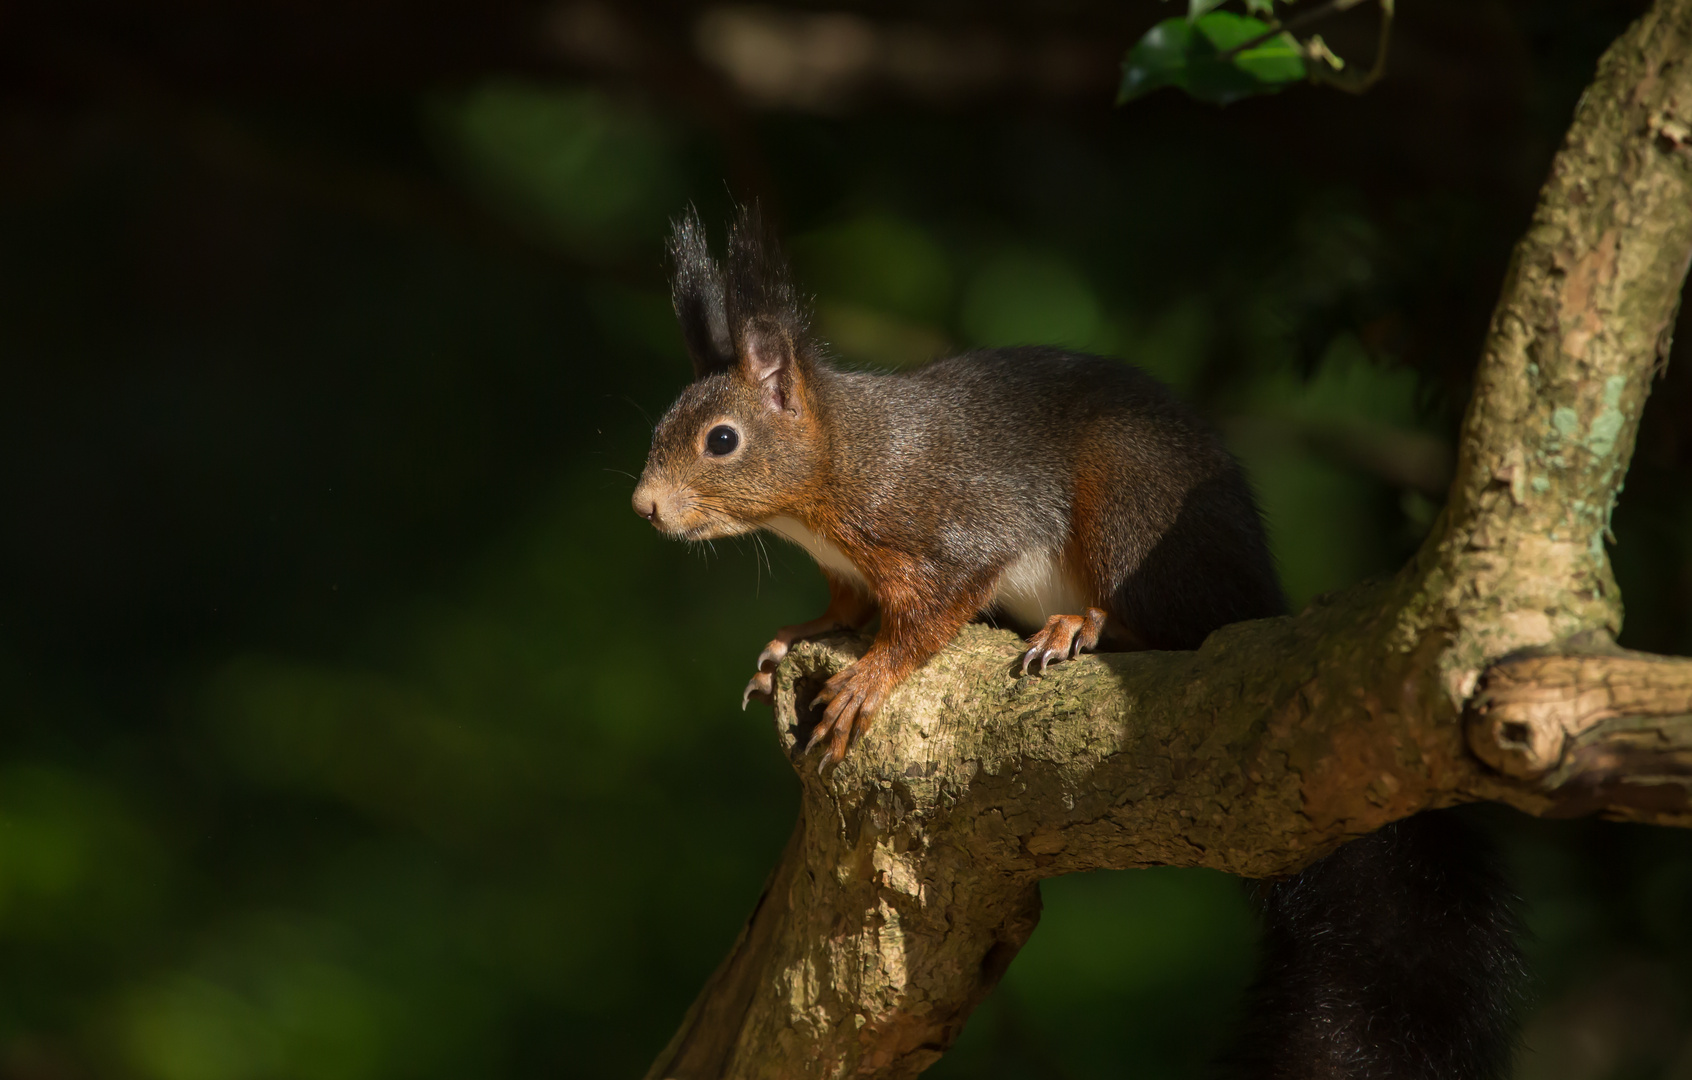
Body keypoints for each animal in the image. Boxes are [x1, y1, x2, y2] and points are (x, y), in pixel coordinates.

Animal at [629, 204, 1529, 1080]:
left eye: (720, 440)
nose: (643, 509)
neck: (839, 465)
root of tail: (1254, 591)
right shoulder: (848, 574)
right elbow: (839, 613)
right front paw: (788, 642)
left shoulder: (952, 525)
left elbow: (931, 615)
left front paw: (867, 680)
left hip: (1133, 514)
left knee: (1170, 631)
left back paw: (1082, 627)